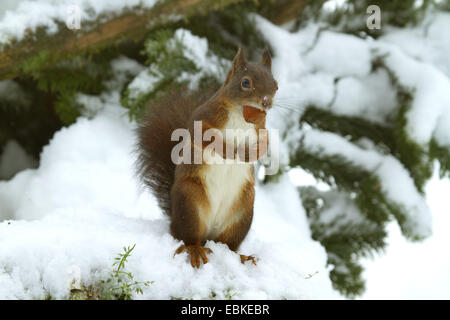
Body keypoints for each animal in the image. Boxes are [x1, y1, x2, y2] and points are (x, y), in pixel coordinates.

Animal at [137, 47, 278, 268]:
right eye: (245, 83)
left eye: (276, 86)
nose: (266, 102)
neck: (241, 116)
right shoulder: (203, 116)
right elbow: (203, 135)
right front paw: (228, 150)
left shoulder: (260, 129)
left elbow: (264, 145)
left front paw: (248, 154)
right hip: (190, 204)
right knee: (188, 237)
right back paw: (195, 250)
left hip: (242, 213)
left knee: (228, 245)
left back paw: (241, 257)